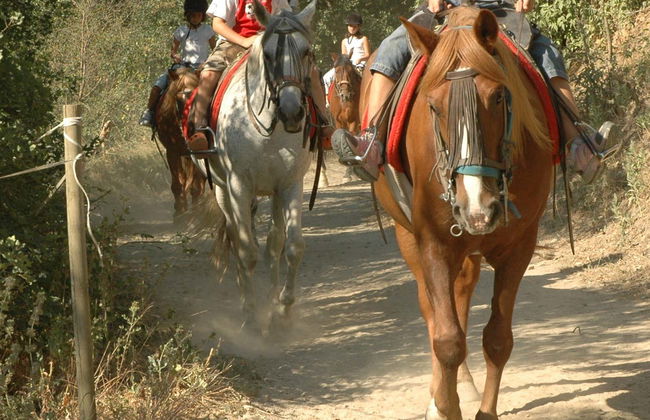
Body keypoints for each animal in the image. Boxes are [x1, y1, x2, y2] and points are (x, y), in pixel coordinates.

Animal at [154, 67, 205, 218]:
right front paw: (179, 211)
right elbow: (178, 184)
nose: (189, 125)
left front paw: (195, 211)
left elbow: (195, 186)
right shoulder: (172, 151)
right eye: (177, 99)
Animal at [195, 1, 317, 332]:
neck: (268, 128)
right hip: (223, 190)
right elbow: (246, 251)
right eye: (269, 54)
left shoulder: (290, 184)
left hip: (271, 193)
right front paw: (250, 315)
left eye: (306, 51)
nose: (292, 112)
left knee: (274, 244)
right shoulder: (239, 184)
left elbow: (292, 247)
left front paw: (282, 310)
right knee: (237, 238)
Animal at [367, 7, 554, 419]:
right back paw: (439, 393)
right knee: (432, 310)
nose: (477, 208)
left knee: (461, 294)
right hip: (410, 236)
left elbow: (497, 338)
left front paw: (482, 408)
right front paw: (444, 404)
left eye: (498, 97)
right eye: (433, 106)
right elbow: (447, 339)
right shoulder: (434, 242)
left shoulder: (520, 247)